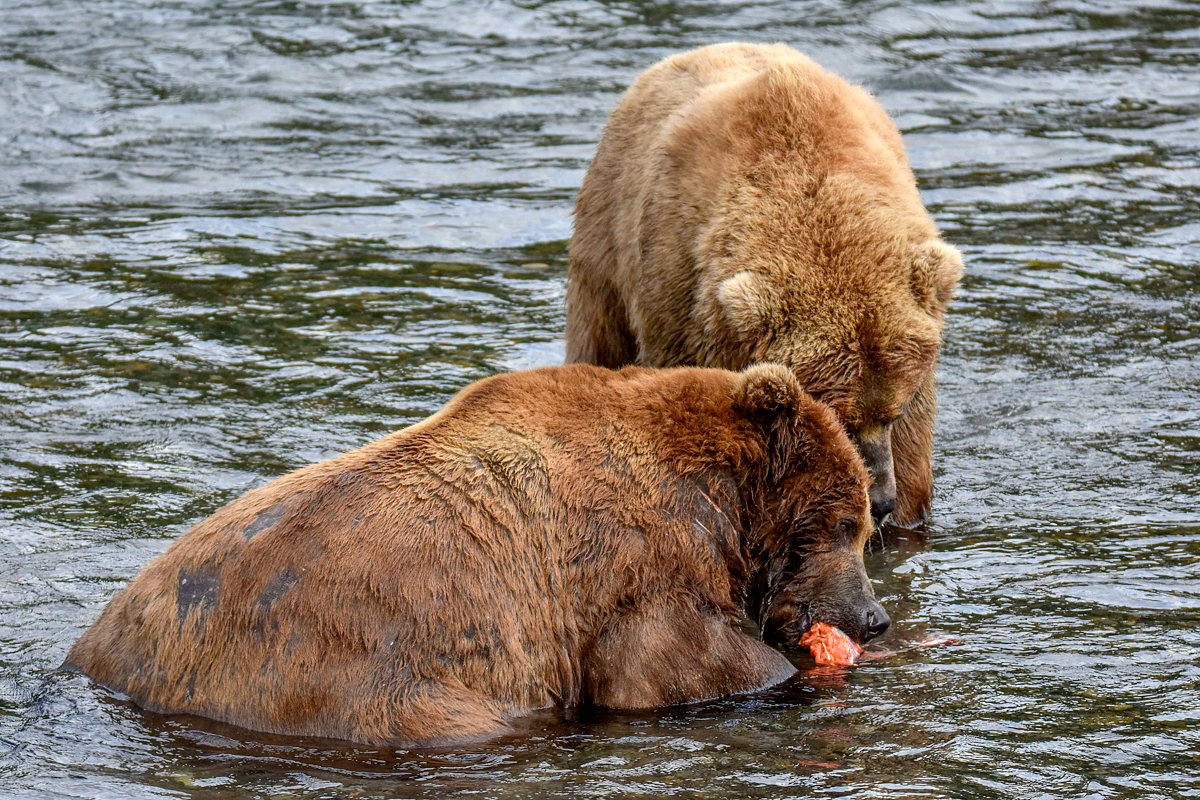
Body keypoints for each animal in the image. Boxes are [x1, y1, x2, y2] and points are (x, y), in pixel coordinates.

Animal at [65, 364, 892, 753]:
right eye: (846, 522)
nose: (875, 616)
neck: (720, 503)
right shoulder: (633, 565)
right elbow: (673, 665)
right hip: (355, 675)